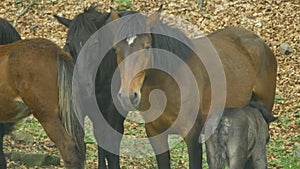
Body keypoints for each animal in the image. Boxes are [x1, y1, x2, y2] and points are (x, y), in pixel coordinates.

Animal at [109, 5, 276, 169]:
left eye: (147, 47)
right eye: (116, 49)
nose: (128, 96)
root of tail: (258, 41)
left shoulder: (192, 137)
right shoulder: (156, 135)